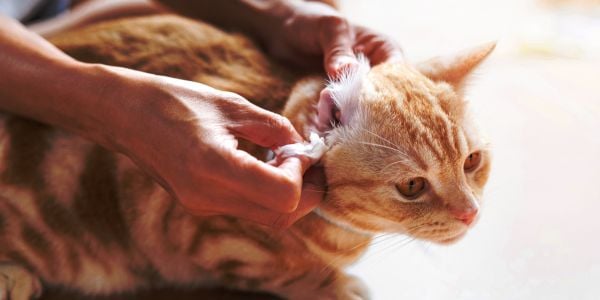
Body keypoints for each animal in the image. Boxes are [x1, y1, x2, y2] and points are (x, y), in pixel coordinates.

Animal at [0, 14, 492, 300]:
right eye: (412, 186)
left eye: (472, 162)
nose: (470, 214)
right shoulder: (202, 236)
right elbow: (290, 274)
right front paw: (338, 286)